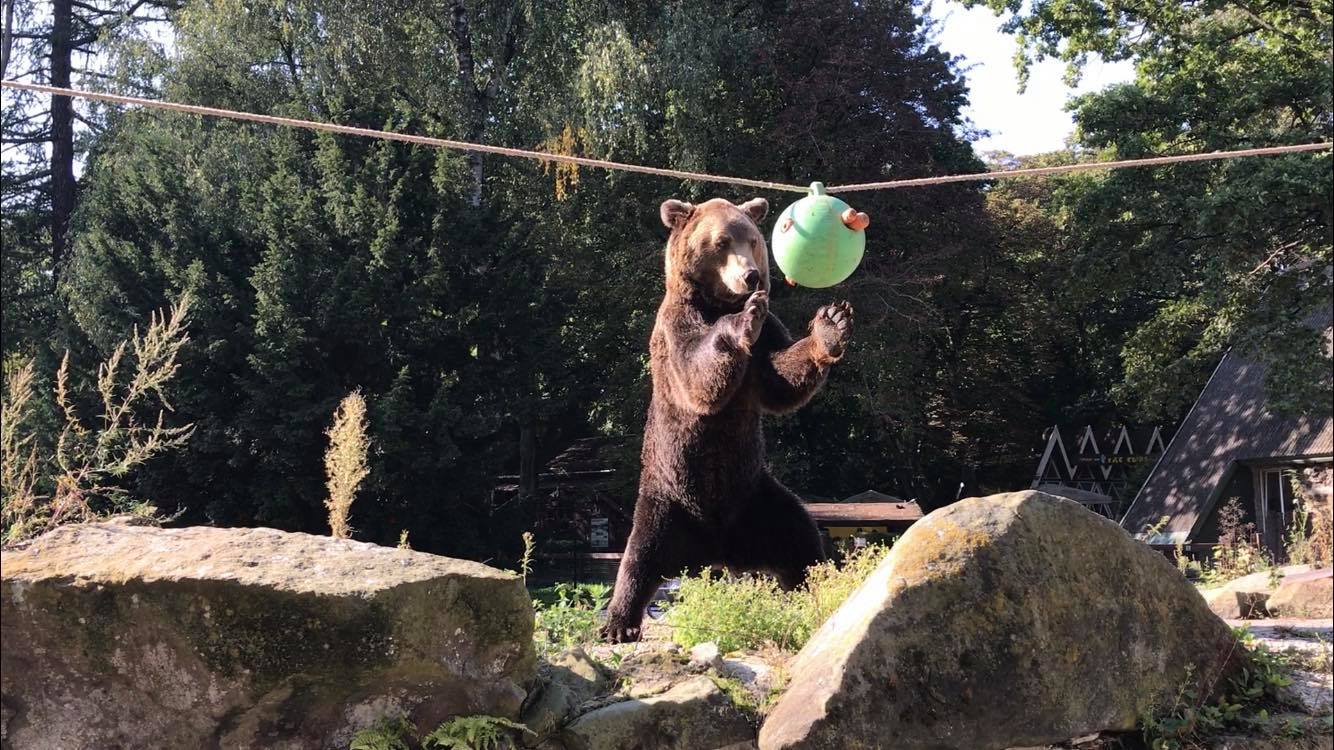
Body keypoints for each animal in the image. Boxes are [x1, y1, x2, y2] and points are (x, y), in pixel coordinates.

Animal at [605, 193, 853, 643]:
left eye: (752, 240)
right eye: (721, 242)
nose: (752, 277)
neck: (715, 301)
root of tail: (717, 551)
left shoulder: (767, 346)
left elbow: (782, 379)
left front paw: (832, 324)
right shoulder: (677, 326)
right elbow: (699, 377)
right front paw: (742, 320)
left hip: (760, 499)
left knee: (803, 544)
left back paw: (820, 593)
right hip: (667, 500)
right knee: (639, 557)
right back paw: (618, 624)